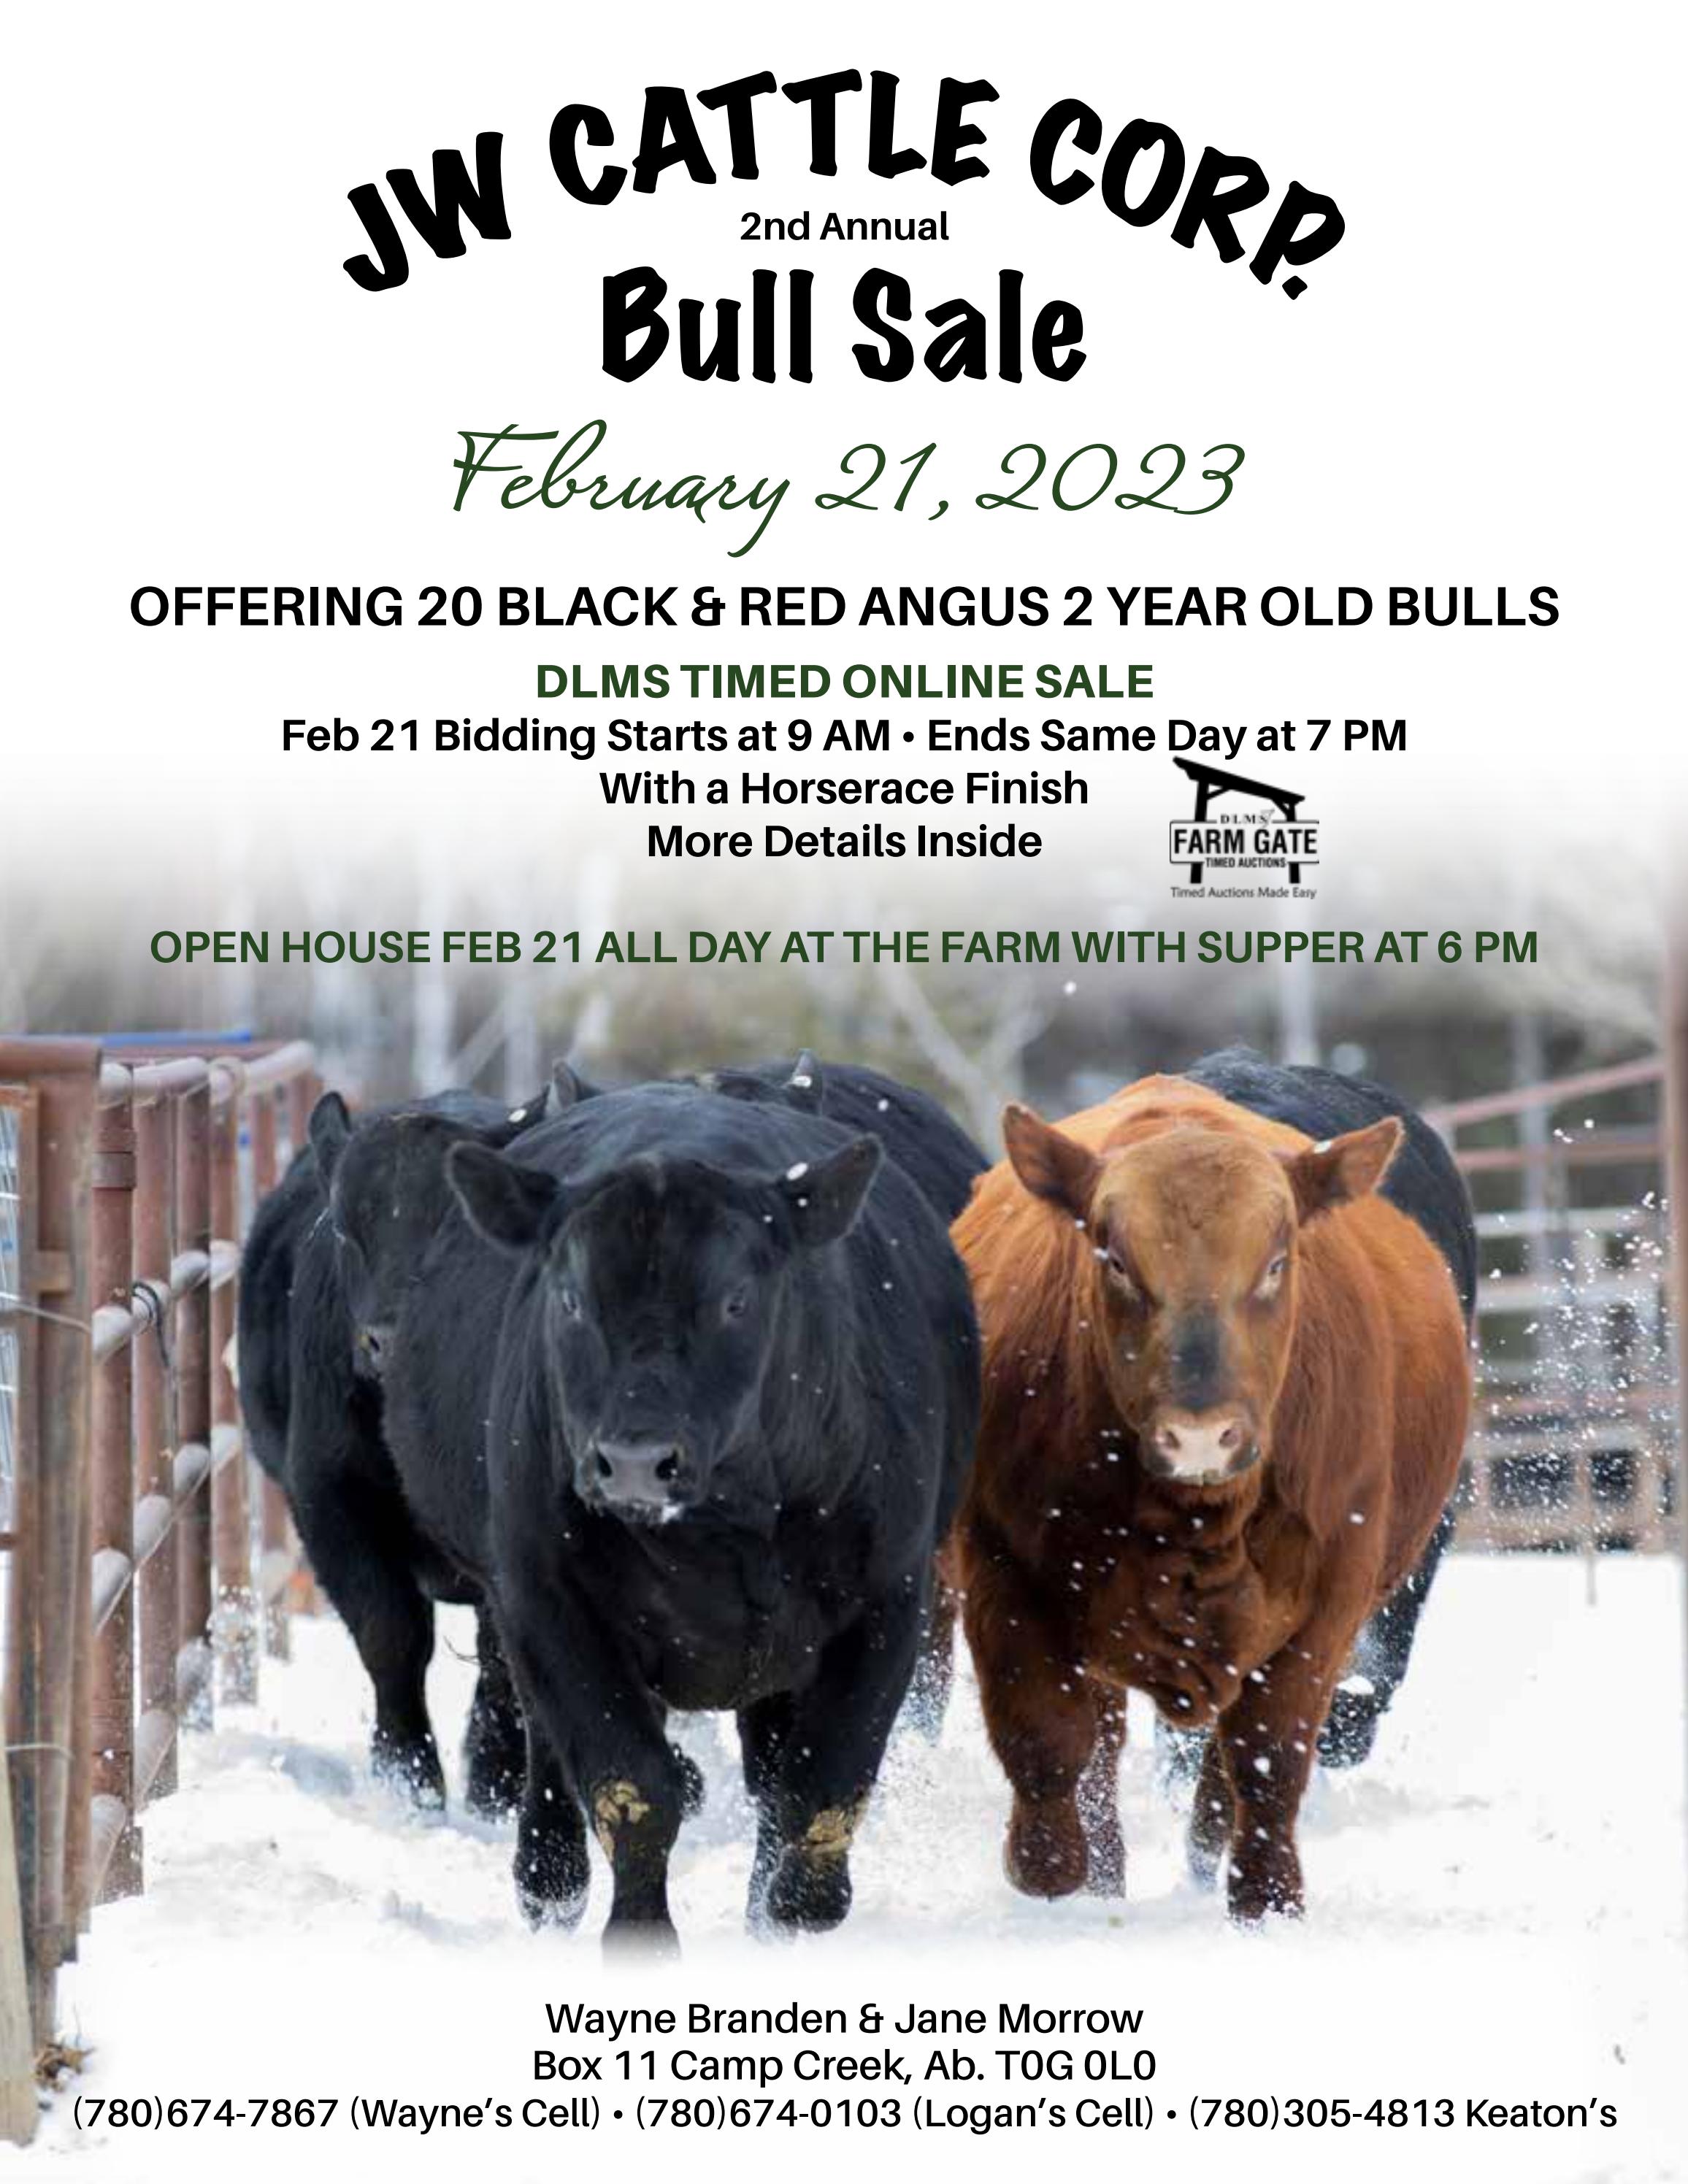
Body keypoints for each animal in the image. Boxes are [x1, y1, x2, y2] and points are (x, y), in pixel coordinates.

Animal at [381, 1080, 978, 1950]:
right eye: (569, 1297)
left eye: (736, 1300)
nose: (633, 1459)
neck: (723, 1532)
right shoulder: (550, 1603)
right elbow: (632, 1790)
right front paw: (638, 1935)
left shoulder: (888, 1602)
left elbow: (821, 1788)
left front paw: (794, 1917)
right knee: (552, 1763)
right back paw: (548, 1885)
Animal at [950, 1053, 1472, 1923]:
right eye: (1114, 1261)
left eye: (1275, 1263)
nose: (1200, 1433)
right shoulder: (1002, 1571)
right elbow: (1048, 1746)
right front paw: (1058, 1885)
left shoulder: (1328, 1600)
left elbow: (1266, 1758)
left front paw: (1266, 1899)